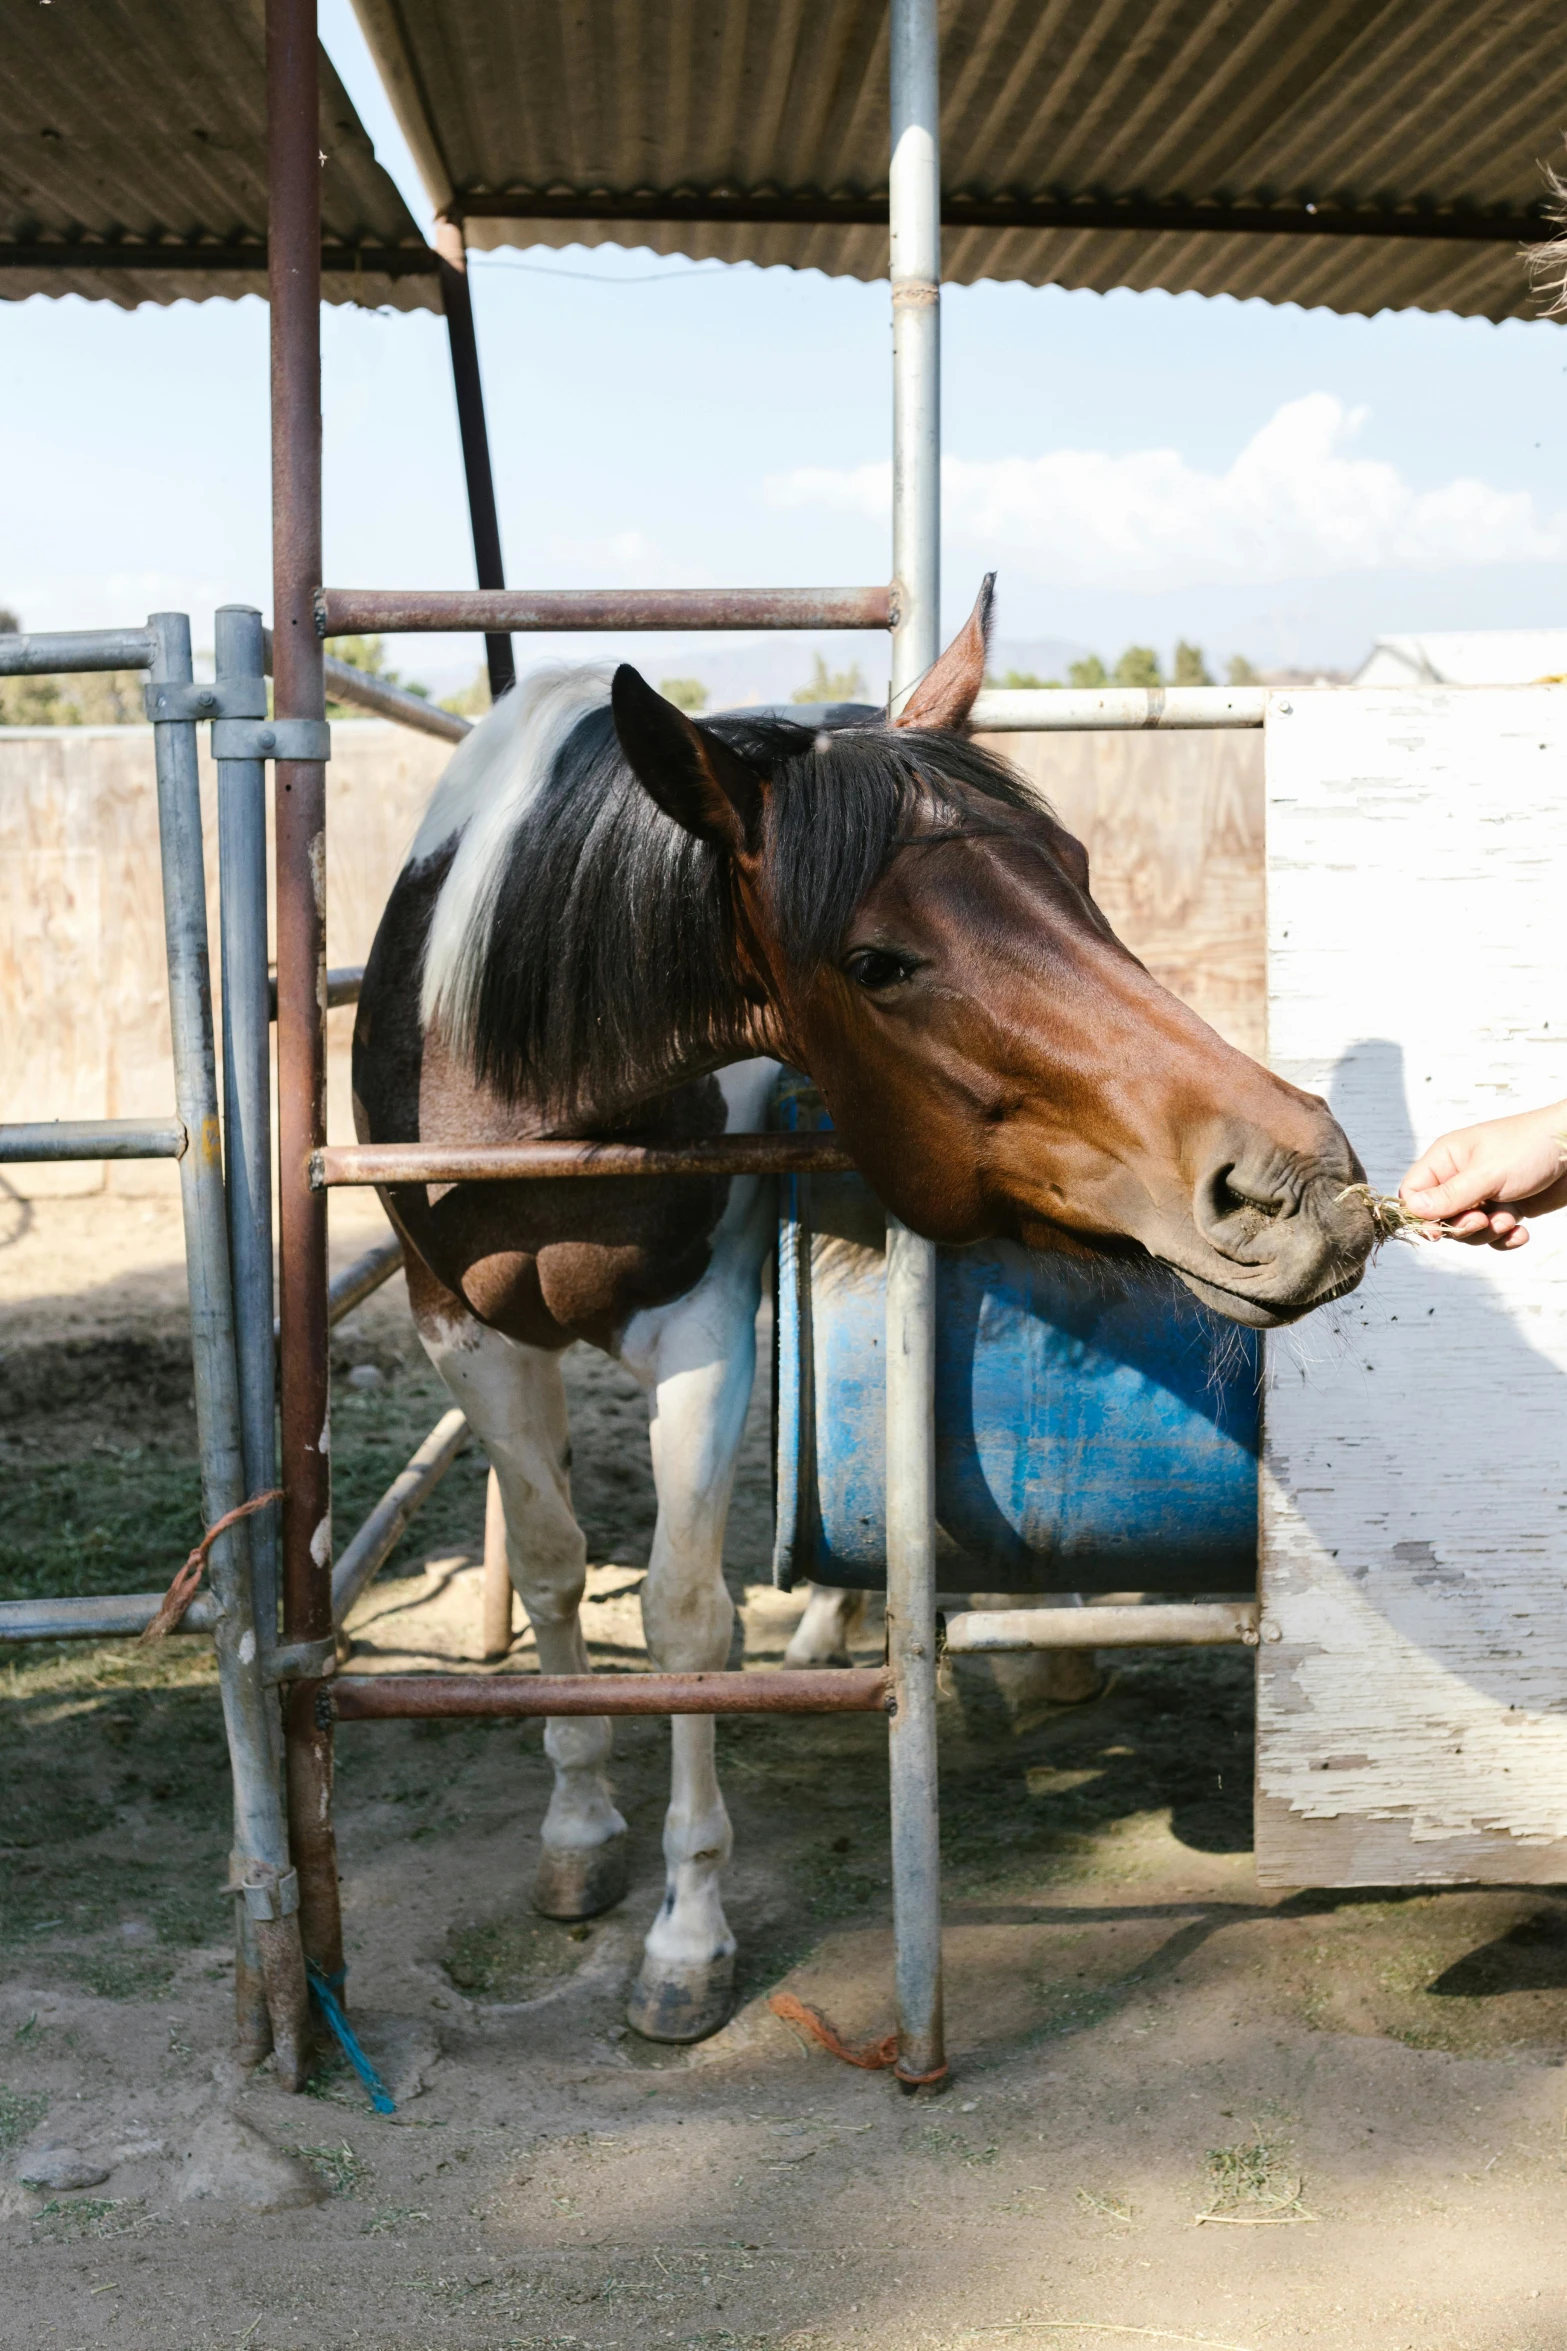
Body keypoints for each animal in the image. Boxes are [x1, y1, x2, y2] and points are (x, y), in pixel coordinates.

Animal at [352, 587, 1372, 2040]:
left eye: (1076, 866)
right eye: (877, 960)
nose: (1302, 1184)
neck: (521, 1081)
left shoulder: (703, 1328)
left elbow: (683, 1613)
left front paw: (686, 1932)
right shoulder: (461, 1328)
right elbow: (555, 1566)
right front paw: (578, 1824)